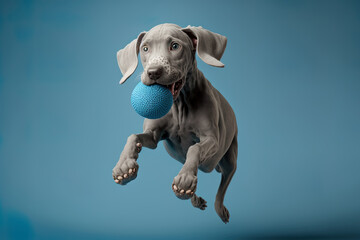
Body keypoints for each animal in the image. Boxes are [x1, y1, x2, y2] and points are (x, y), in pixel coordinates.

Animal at [112, 23, 236, 222]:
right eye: (145, 49)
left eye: (175, 46)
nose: (153, 72)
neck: (180, 105)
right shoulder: (153, 136)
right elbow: (133, 136)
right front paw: (124, 167)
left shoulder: (212, 140)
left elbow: (195, 148)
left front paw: (185, 179)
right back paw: (193, 196)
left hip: (230, 156)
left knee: (223, 182)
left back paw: (217, 207)